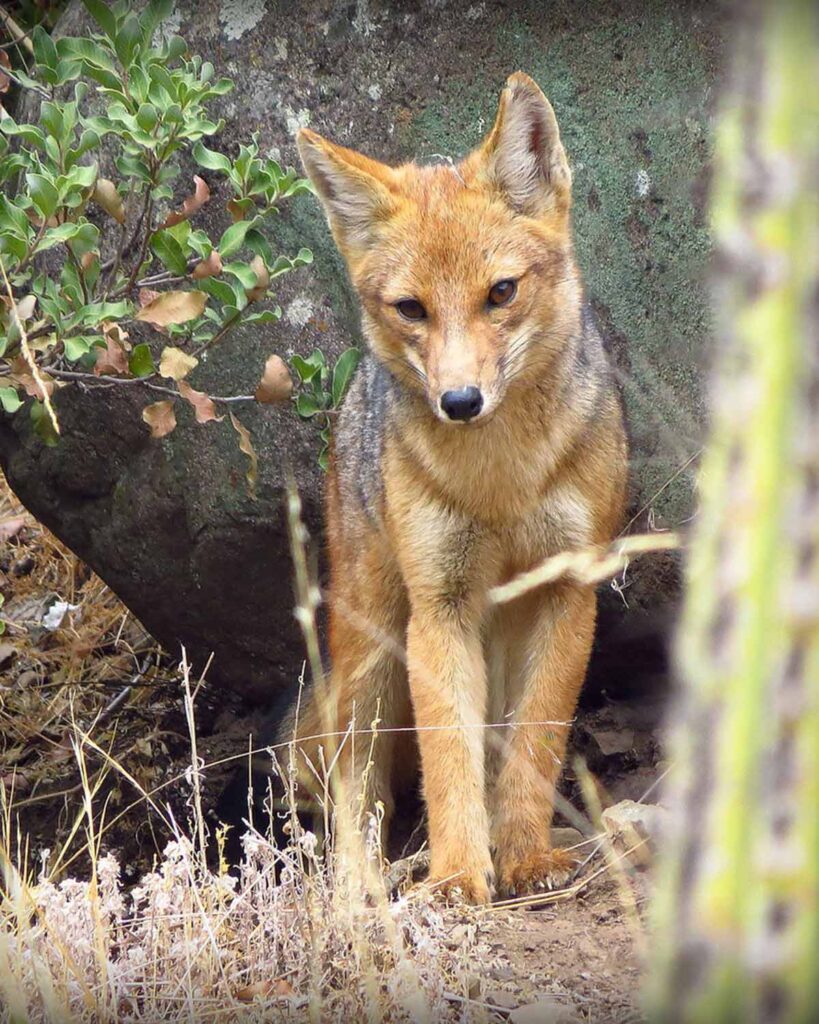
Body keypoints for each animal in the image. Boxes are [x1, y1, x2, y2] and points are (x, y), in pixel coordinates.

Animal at [286, 72, 628, 904]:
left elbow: (535, 743)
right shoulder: (438, 607)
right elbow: (446, 758)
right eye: (412, 308)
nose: (460, 401)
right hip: (373, 656)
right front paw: (454, 877)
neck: (499, 480)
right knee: (357, 783)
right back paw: (361, 887)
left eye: (499, 292)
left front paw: (525, 858)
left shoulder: (567, 590)